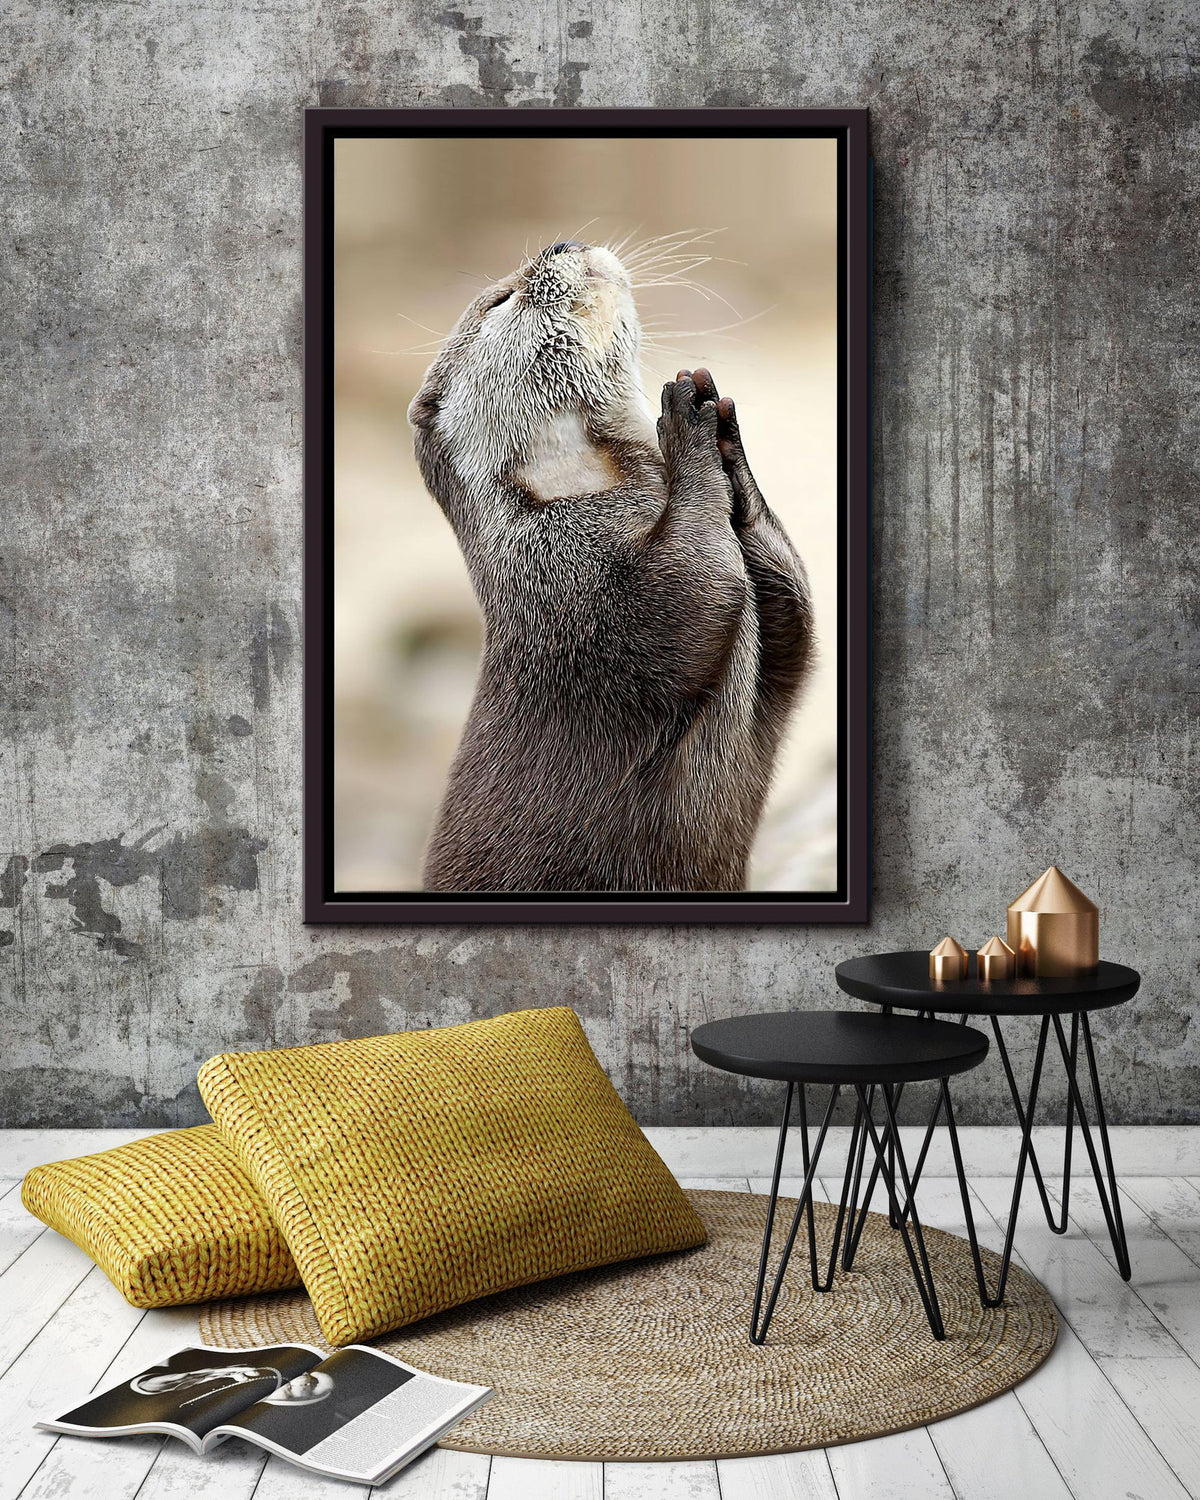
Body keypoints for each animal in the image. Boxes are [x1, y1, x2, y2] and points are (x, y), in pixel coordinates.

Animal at [407, 240, 813, 893]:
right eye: (503, 299)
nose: (559, 244)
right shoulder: (572, 588)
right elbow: (694, 587)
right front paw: (685, 422)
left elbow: (794, 616)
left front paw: (727, 441)